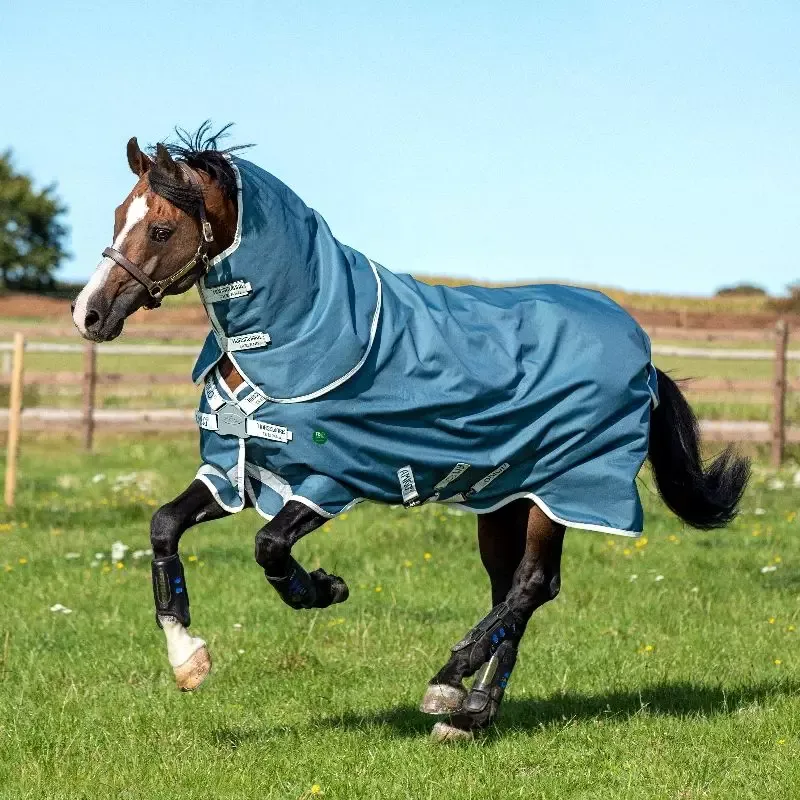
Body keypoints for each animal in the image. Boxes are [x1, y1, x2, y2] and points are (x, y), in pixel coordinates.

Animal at [71, 125, 749, 742]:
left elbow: (268, 547)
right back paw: (472, 713)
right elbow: (164, 524)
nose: (88, 314)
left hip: (561, 490)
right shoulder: (238, 470)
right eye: (118, 216)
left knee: (532, 585)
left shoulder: (329, 479)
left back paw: (449, 684)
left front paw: (323, 589)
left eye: (161, 229)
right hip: (504, 497)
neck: (299, 336)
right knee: (515, 587)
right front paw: (188, 659)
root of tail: (645, 358)